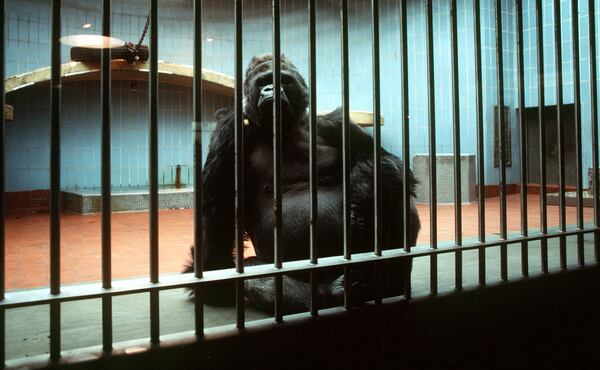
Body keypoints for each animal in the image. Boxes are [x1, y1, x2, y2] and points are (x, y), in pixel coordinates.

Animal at [185, 55, 420, 314]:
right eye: (263, 82)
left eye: (284, 80)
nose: (271, 90)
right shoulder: (232, 128)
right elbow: (217, 207)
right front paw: (214, 283)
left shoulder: (336, 123)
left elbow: (382, 160)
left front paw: (364, 197)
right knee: (256, 271)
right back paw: (334, 293)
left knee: (393, 188)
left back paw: (386, 284)